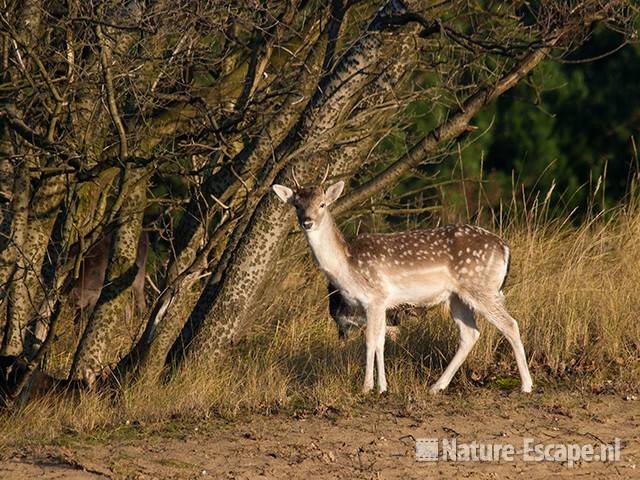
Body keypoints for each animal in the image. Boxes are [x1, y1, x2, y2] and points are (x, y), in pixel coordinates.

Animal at [272, 172, 532, 394]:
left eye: (323, 204)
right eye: (297, 205)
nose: (307, 222)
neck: (347, 266)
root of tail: (504, 248)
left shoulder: (376, 296)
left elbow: (371, 341)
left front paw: (367, 388)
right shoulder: (380, 304)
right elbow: (380, 341)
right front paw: (382, 387)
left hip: (482, 287)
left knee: (510, 324)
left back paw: (526, 385)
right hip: (457, 296)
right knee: (470, 333)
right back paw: (436, 386)